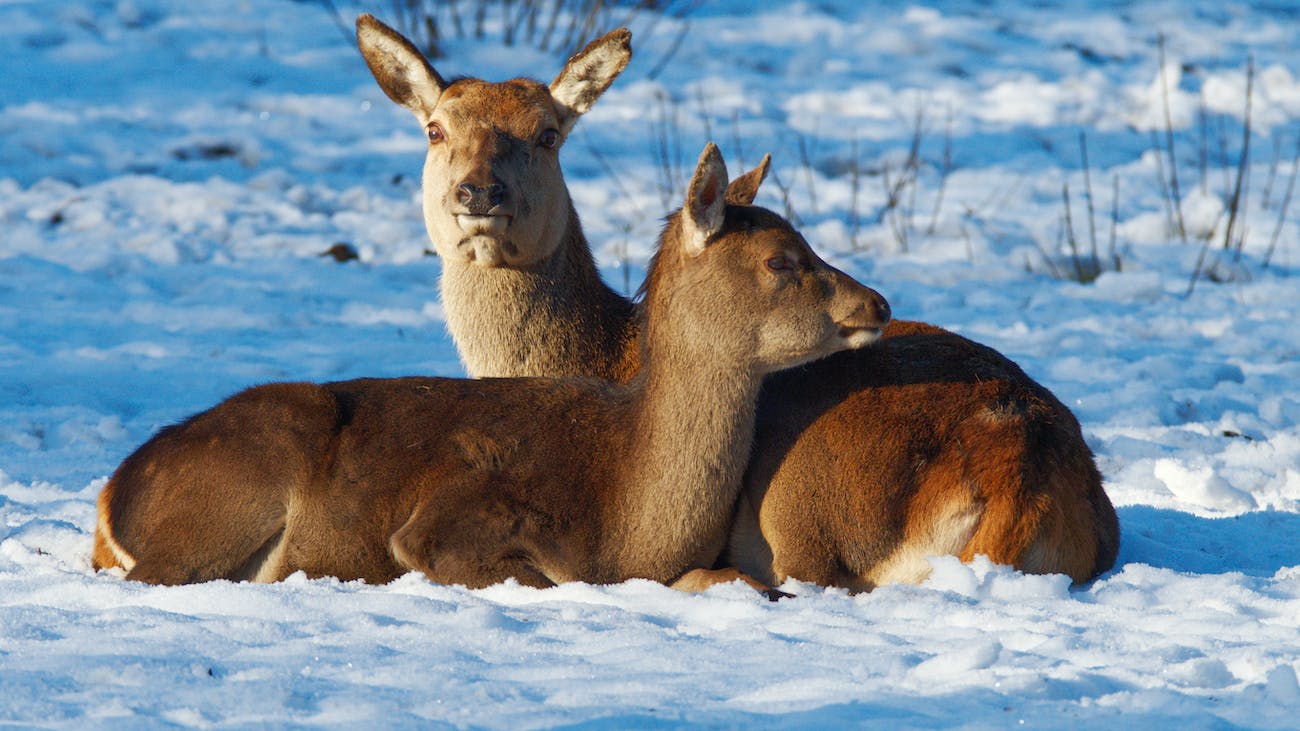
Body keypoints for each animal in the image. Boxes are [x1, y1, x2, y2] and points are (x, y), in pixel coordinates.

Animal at [86, 142, 889, 593]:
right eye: (782, 260)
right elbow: (540, 577)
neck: (629, 510)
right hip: (229, 495)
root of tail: (112, 496)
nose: (877, 302)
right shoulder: (452, 517)